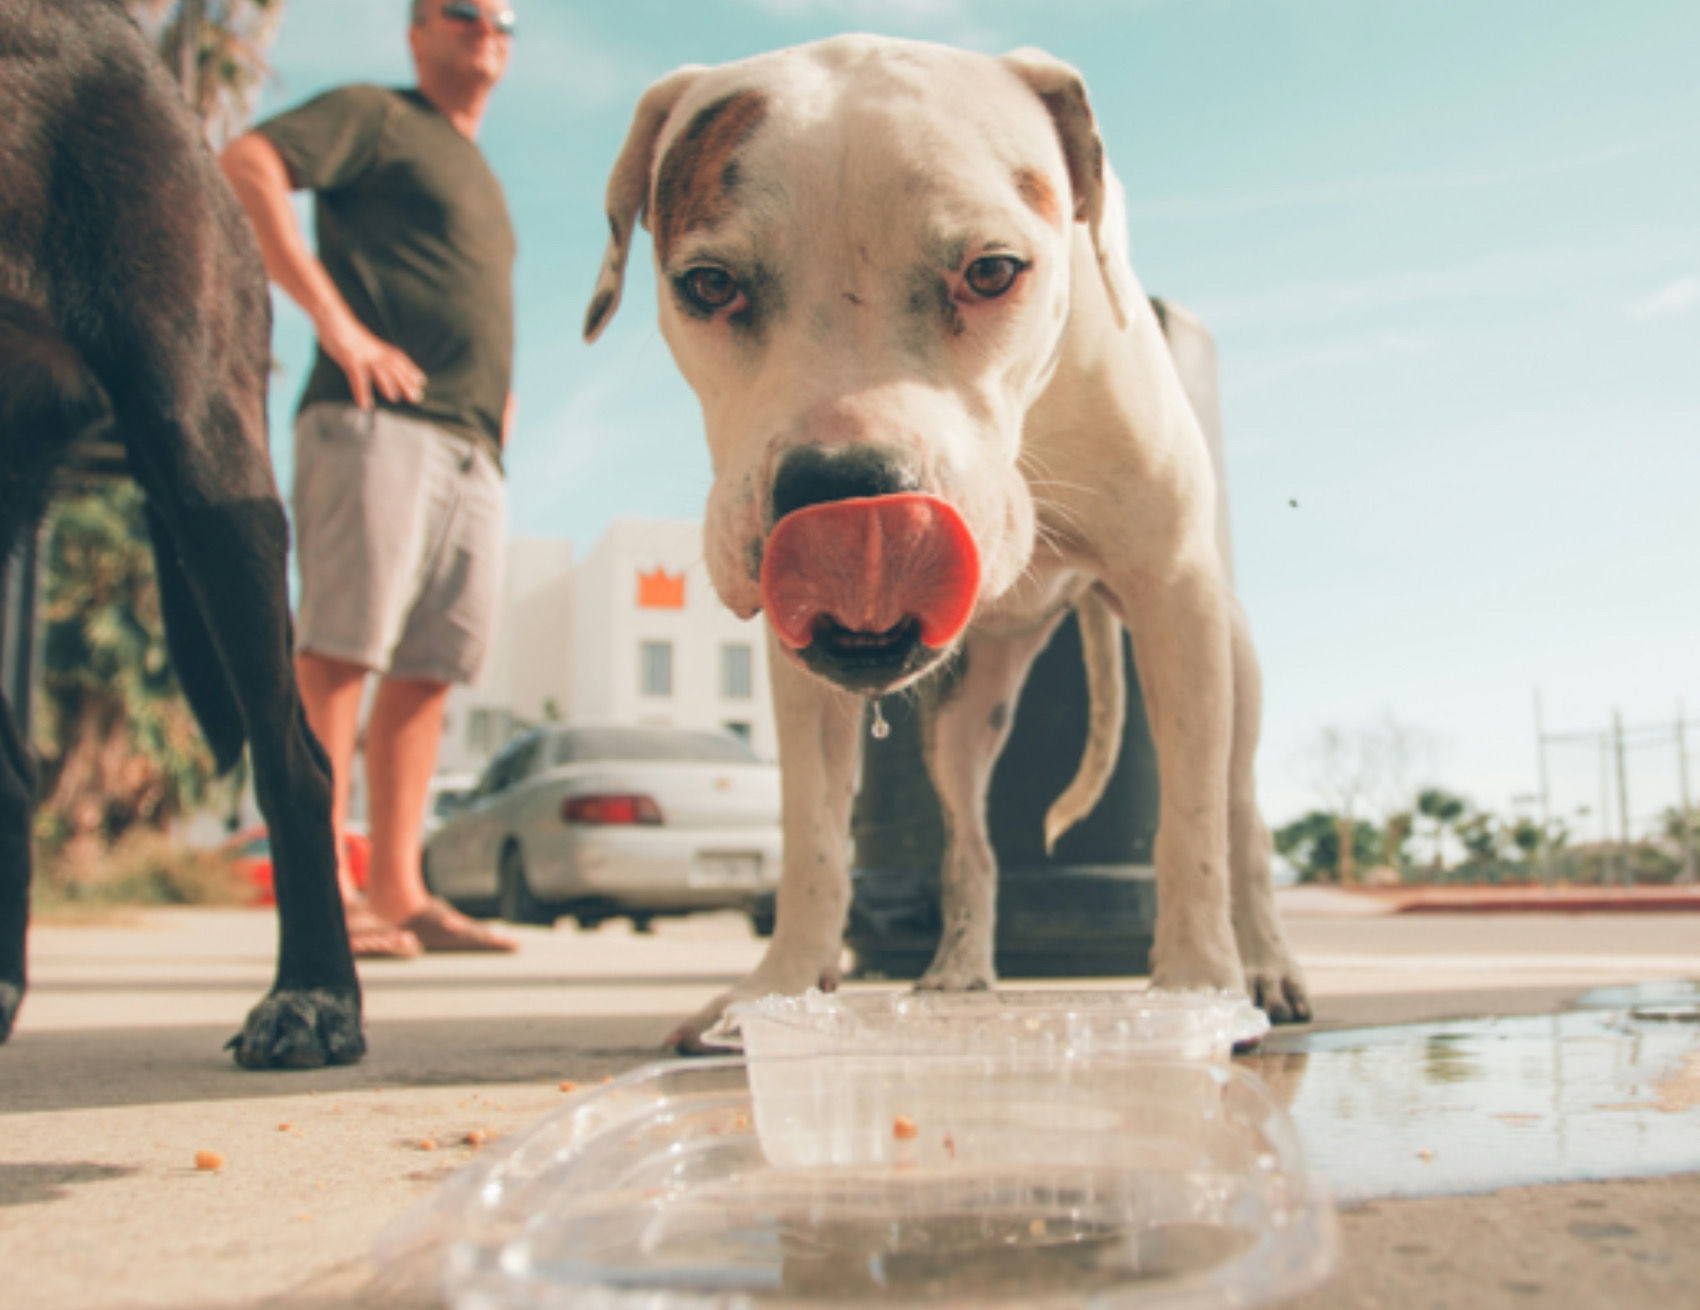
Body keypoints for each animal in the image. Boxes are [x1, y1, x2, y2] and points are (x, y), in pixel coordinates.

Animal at [578, 35, 1305, 1053]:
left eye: (994, 271)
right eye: (709, 285)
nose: (848, 493)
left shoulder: (1174, 596)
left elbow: (1190, 828)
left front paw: (1199, 988)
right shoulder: (802, 678)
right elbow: (811, 839)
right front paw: (779, 989)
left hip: (1228, 661)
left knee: (1241, 819)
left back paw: (1268, 966)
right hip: (964, 719)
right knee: (971, 843)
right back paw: (960, 970)